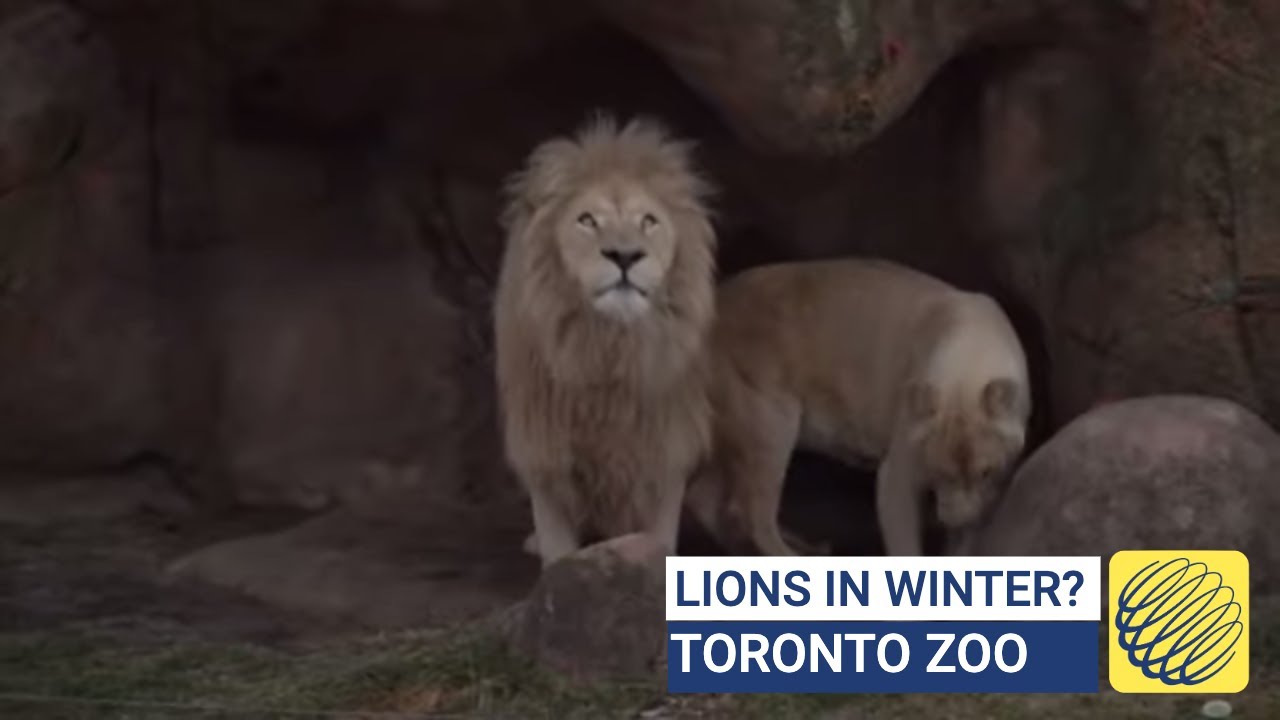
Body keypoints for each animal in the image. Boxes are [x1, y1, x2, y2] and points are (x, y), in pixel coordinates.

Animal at [494, 116, 718, 568]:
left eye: (648, 221)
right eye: (587, 221)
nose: (625, 255)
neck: (609, 347)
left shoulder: (665, 453)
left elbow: (661, 538)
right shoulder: (546, 458)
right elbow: (558, 551)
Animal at [684, 258, 1031, 557]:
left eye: (986, 472)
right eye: (938, 472)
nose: (954, 521)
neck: (969, 369)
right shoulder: (897, 480)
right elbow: (906, 548)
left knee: (705, 499)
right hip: (772, 426)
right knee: (750, 514)